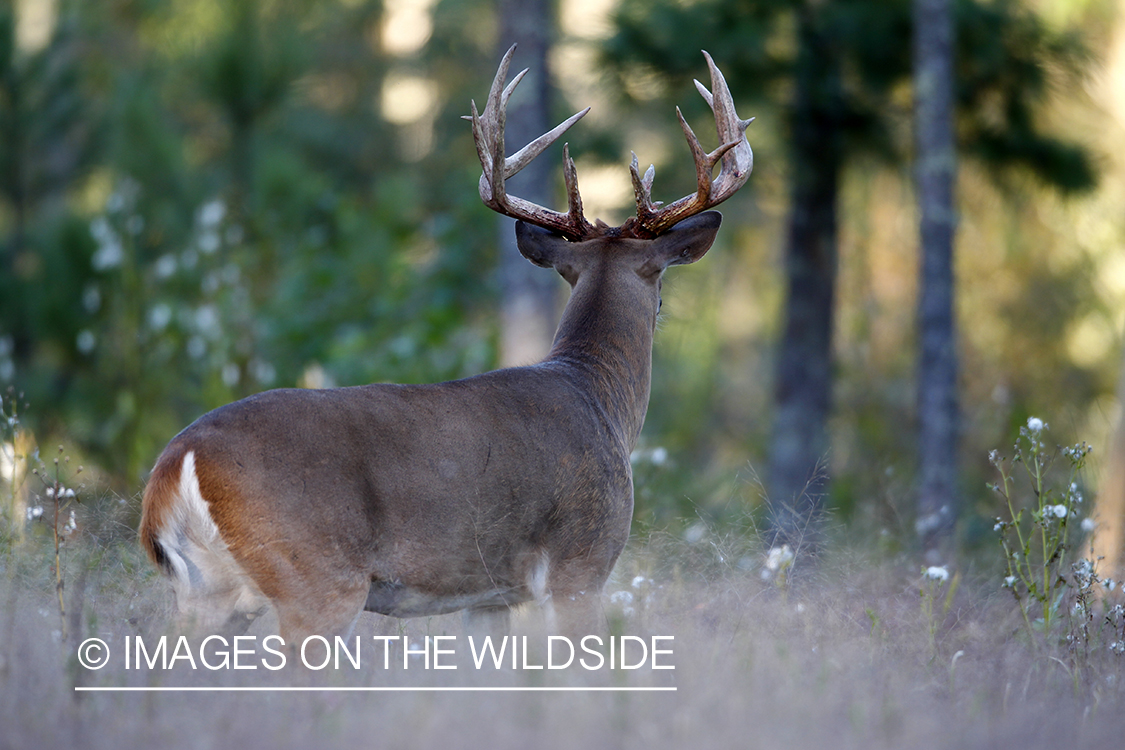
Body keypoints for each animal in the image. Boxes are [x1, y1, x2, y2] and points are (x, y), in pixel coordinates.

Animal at [142, 46, 756, 643]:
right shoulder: (582, 559)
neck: (597, 394)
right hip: (315, 577)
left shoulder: (489, 595)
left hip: (204, 593)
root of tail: (176, 464)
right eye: (660, 285)